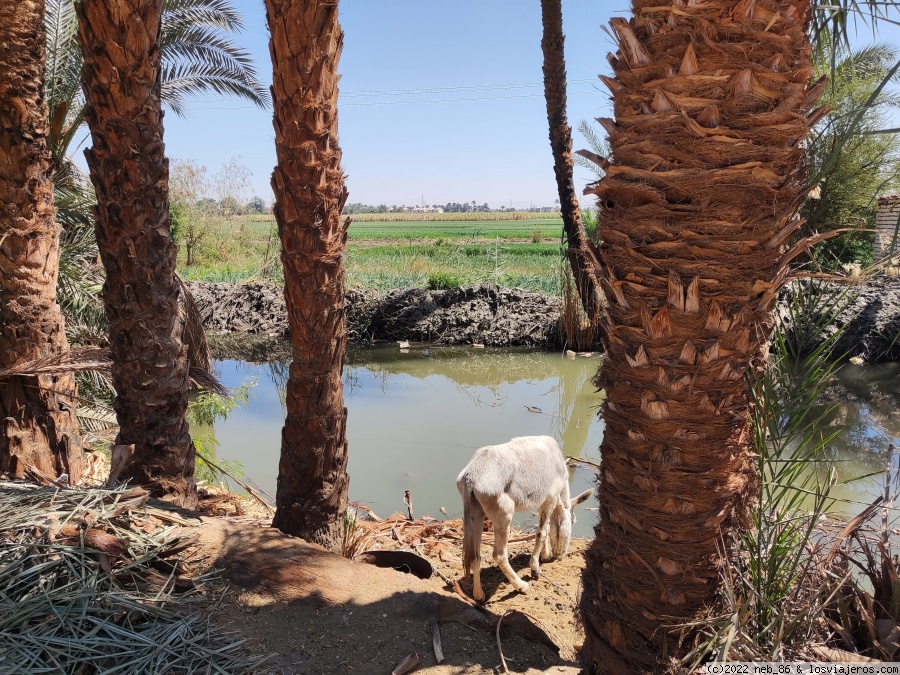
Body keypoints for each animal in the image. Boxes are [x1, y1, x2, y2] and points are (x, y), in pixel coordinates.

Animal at [454, 438, 596, 604]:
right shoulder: (551, 498)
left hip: (476, 512)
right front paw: (535, 568)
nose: (559, 556)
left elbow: (547, 528)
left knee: (475, 556)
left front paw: (545, 555)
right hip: (504, 514)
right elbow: (542, 532)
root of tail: (470, 478)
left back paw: (479, 595)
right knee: (499, 555)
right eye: (573, 522)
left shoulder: (542, 501)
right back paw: (521, 586)